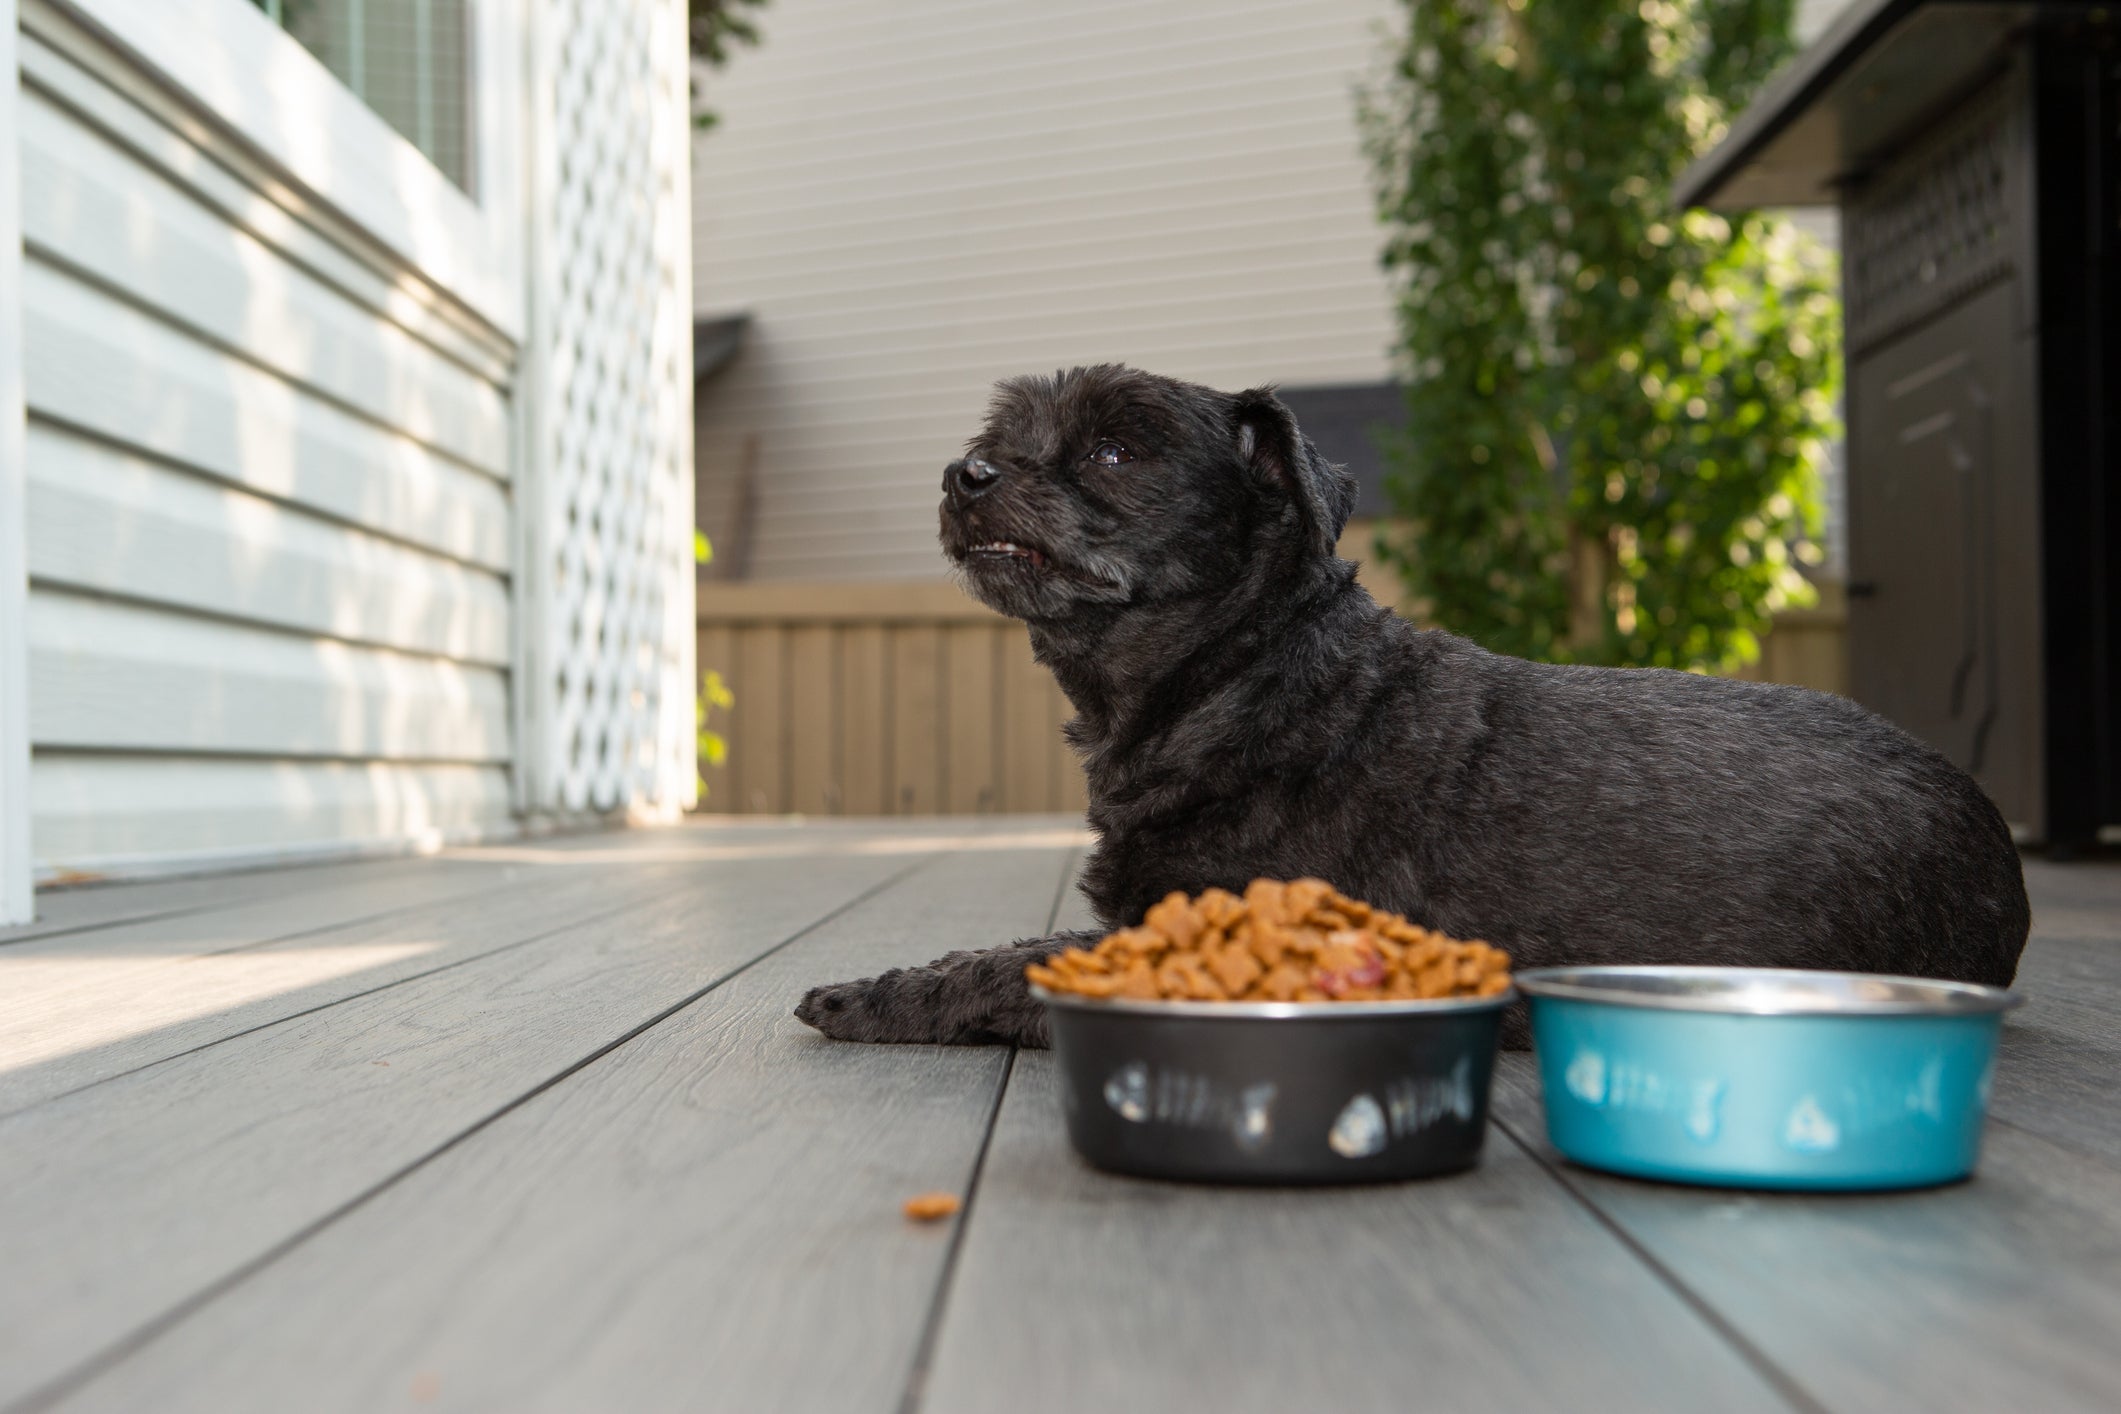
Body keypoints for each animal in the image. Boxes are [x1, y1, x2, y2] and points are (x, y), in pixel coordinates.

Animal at [793, 368, 2019, 1051]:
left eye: (1116, 445)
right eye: (1004, 437)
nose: (966, 473)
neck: (1257, 678)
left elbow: (1011, 964)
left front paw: (870, 995)